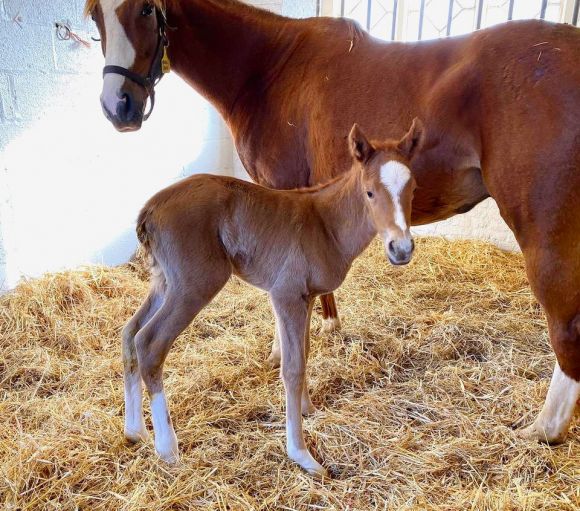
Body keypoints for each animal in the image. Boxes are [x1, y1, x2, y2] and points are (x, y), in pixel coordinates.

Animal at [121, 120, 422, 476]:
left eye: (413, 188)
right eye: (370, 192)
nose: (401, 249)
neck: (326, 225)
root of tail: (149, 210)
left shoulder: (307, 297)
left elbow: (305, 352)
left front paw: (307, 409)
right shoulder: (286, 295)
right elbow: (291, 367)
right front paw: (301, 454)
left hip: (164, 281)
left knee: (129, 333)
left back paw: (135, 431)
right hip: (194, 284)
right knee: (149, 343)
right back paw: (167, 449)